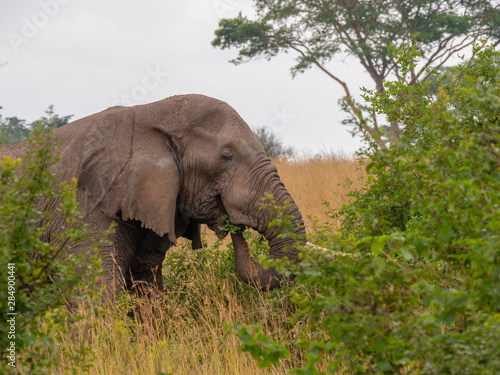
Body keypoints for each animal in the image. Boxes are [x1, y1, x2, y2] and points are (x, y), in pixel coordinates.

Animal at [0, 94, 306, 300]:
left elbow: (146, 284)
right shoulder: (86, 206)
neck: (150, 113)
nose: (235, 227)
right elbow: (97, 292)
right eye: (226, 157)